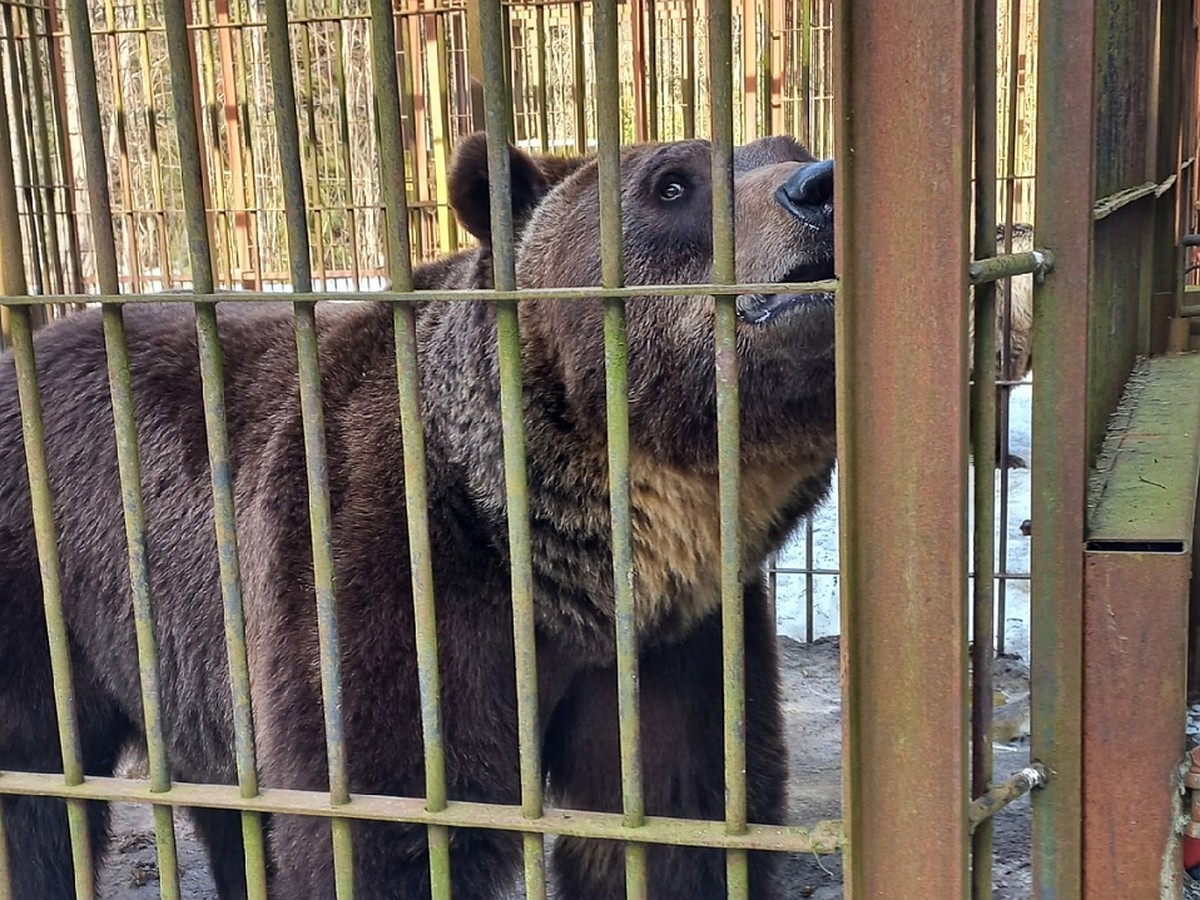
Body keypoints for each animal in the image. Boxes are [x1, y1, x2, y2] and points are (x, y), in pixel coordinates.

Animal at [0, 130, 835, 897]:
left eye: (788, 145)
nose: (818, 187)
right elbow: (388, 823)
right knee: (35, 793)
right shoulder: (386, 568)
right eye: (672, 183)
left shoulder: (678, 641)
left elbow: (674, 820)